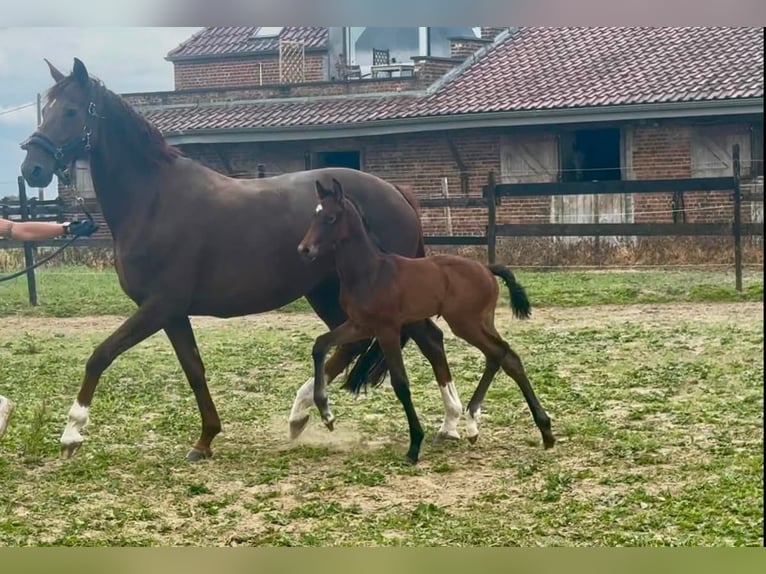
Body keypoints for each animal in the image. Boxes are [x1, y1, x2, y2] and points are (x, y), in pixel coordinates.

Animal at [19, 57, 451, 461]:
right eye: (46, 109)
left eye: (71, 110)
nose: (32, 168)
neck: (153, 201)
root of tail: (397, 193)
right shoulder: (172, 313)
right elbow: (194, 369)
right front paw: (205, 438)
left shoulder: (158, 306)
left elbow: (100, 356)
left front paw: (72, 433)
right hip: (329, 294)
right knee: (365, 342)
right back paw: (308, 414)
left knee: (424, 338)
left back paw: (450, 423)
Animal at [298, 178, 556, 463]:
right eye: (314, 215)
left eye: (331, 217)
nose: (304, 249)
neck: (370, 271)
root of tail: (487, 269)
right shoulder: (360, 325)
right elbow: (320, 344)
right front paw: (326, 415)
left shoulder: (387, 329)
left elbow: (401, 383)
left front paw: (414, 446)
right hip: (481, 322)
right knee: (502, 357)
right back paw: (495, 426)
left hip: (466, 324)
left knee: (503, 355)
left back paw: (532, 428)